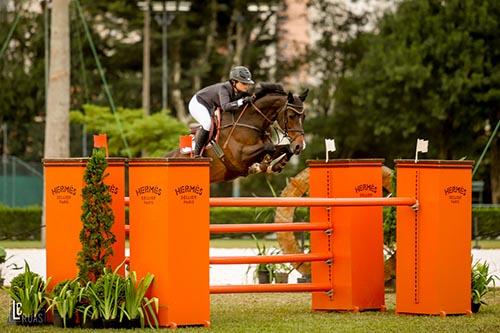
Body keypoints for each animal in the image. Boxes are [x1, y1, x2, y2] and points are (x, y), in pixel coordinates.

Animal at [170, 82, 306, 182]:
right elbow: (269, 147)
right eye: (291, 116)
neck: (250, 122)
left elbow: (285, 148)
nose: (300, 145)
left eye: (303, 116)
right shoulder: (240, 158)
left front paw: (274, 166)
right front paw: (261, 166)